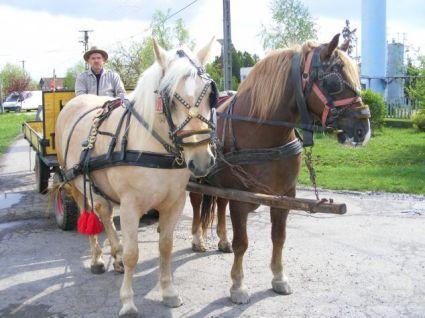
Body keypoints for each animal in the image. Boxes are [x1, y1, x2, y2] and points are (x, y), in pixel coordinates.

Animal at [55, 38, 217, 314]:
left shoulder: (174, 202)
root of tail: (76, 102)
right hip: (75, 184)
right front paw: (128, 302)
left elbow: (166, 247)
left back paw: (115, 256)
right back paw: (97, 259)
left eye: (209, 96)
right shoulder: (131, 205)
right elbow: (133, 254)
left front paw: (169, 291)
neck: (152, 147)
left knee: (105, 214)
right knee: (88, 213)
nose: (202, 161)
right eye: (171, 100)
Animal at [190, 34, 370, 304]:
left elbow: (279, 237)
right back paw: (198, 240)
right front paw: (238, 286)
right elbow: (242, 242)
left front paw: (278, 278)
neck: (261, 130)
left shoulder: (284, 195)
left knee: (219, 204)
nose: (363, 129)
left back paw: (222, 240)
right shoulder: (241, 199)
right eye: (334, 82)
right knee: (196, 204)